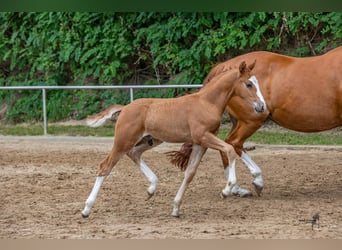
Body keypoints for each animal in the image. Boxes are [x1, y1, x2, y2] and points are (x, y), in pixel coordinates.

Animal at [81, 60, 266, 217]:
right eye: (249, 84)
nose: (261, 106)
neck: (207, 102)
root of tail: (125, 108)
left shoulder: (200, 143)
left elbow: (190, 173)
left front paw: (176, 207)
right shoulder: (203, 136)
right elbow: (229, 149)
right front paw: (226, 190)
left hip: (151, 140)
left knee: (134, 153)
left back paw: (151, 188)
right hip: (123, 141)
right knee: (105, 166)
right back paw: (86, 209)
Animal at [172, 45, 340, 197]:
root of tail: (223, 66)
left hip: (238, 122)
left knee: (226, 145)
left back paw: (236, 189)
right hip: (251, 121)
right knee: (234, 142)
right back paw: (255, 181)